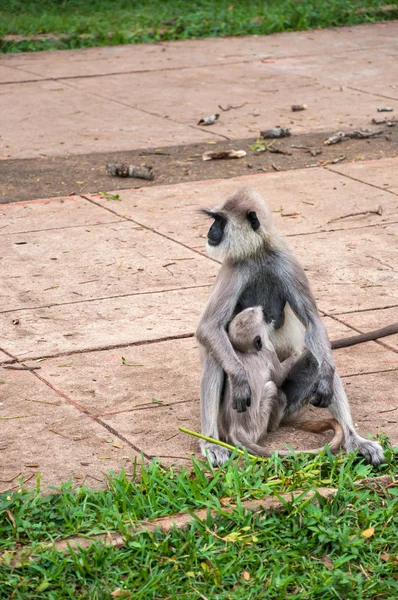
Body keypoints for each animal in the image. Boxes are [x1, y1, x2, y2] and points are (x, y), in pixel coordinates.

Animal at [196, 185, 386, 466]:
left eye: (219, 221)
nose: (211, 231)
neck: (259, 253)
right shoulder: (235, 267)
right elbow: (208, 328)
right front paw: (240, 379)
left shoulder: (286, 261)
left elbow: (313, 322)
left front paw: (326, 378)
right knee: (214, 354)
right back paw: (211, 442)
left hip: (290, 405)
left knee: (319, 359)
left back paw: (354, 438)